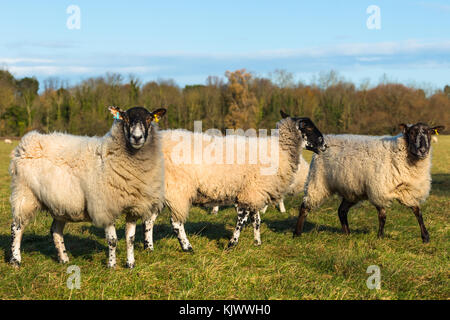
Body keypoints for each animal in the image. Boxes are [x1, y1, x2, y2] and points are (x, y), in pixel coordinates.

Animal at [9, 105, 167, 268]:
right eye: (126, 118)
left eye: (149, 119)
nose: (137, 137)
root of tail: (27, 141)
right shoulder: (105, 206)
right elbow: (112, 240)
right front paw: (111, 265)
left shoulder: (134, 207)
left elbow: (130, 239)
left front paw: (130, 264)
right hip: (25, 194)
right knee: (16, 227)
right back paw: (15, 260)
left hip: (60, 203)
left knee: (55, 230)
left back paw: (64, 259)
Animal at [142, 111, 326, 251]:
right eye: (308, 126)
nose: (324, 146)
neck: (280, 150)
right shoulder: (249, 192)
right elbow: (242, 220)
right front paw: (232, 244)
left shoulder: (254, 192)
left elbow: (256, 220)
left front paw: (257, 243)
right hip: (177, 188)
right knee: (176, 222)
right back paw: (187, 247)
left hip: (161, 191)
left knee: (149, 219)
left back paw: (149, 247)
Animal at [294, 122, 444, 242]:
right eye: (412, 133)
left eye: (430, 132)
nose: (423, 150)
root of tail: (325, 141)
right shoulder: (378, 189)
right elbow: (382, 216)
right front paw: (380, 237)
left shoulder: (406, 191)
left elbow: (417, 212)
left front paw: (425, 237)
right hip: (317, 182)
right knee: (305, 206)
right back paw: (297, 233)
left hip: (352, 191)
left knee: (341, 211)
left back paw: (347, 234)